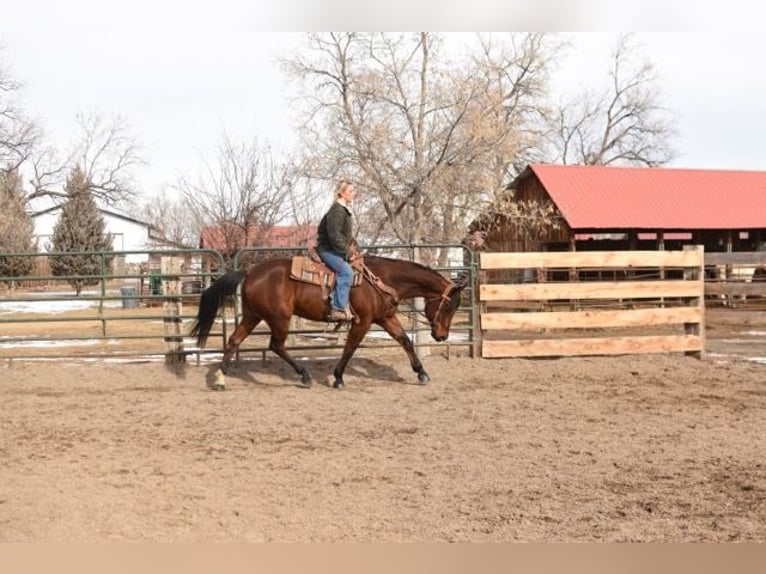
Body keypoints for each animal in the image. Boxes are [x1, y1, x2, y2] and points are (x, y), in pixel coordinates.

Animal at [190, 256, 468, 392]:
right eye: (451, 306)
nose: (442, 336)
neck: (382, 279)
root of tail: (250, 273)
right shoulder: (363, 322)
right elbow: (350, 348)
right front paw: (338, 377)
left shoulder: (385, 318)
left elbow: (405, 340)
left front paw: (421, 373)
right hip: (279, 318)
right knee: (275, 346)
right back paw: (304, 375)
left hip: (252, 316)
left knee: (234, 340)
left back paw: (221, 379)